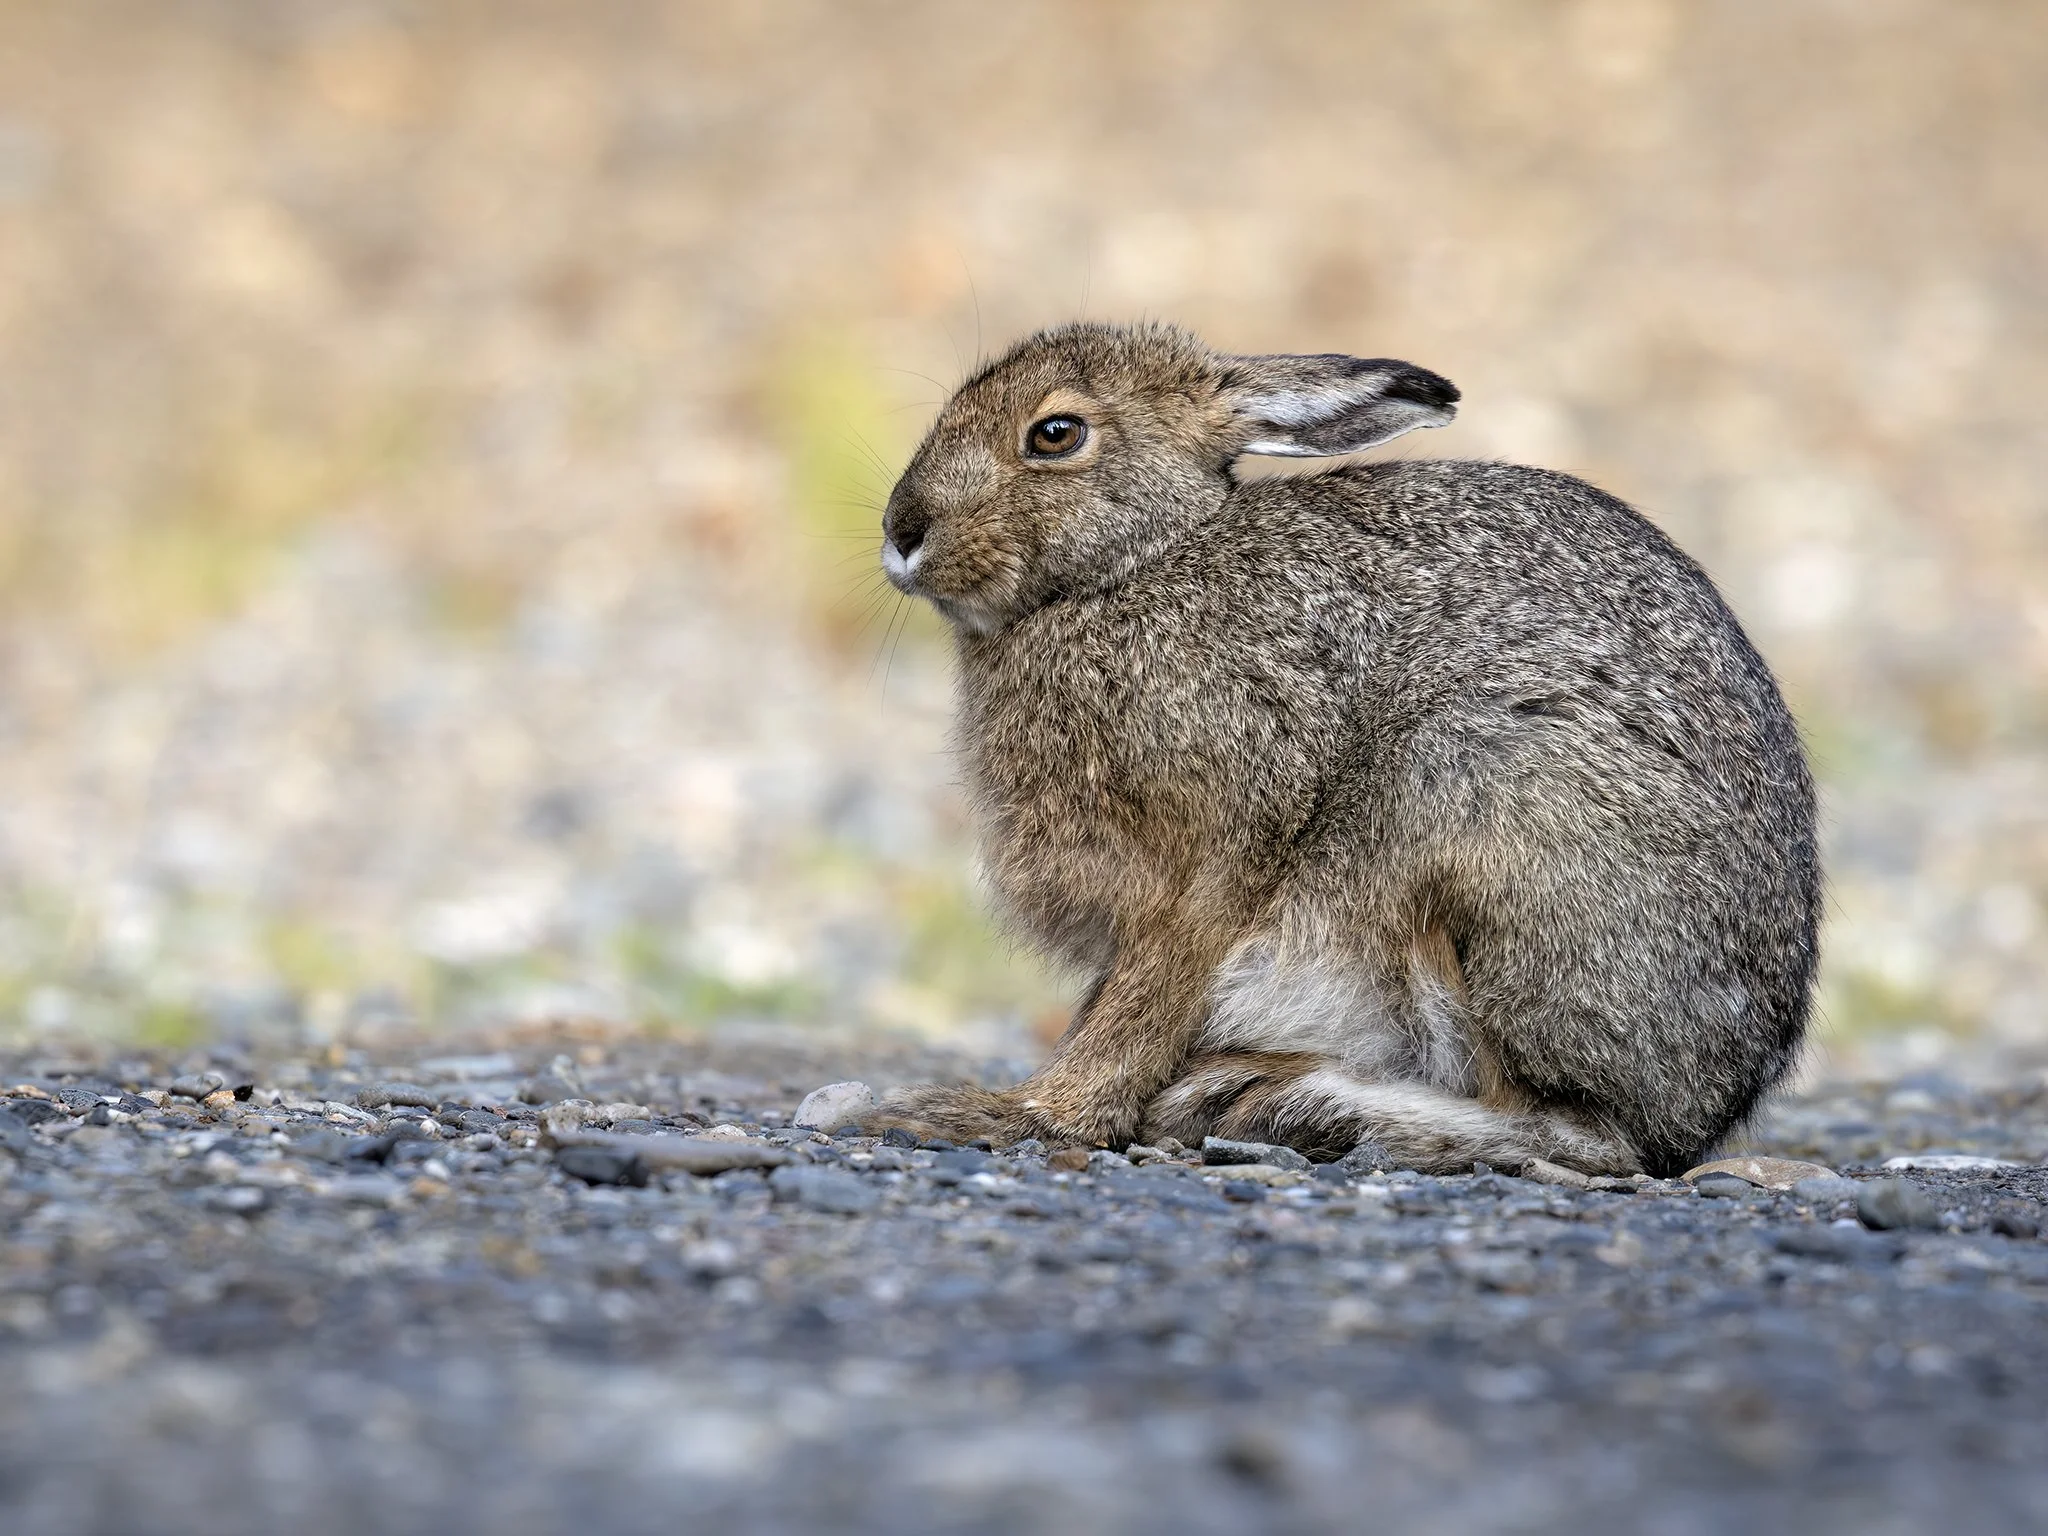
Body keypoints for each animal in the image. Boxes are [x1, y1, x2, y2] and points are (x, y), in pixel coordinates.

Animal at [865, 321, 1818, 1178]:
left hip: (1481, 812)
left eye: (1055, 434)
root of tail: (1708, 1101)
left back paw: (1278, 1101)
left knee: (1580, 1137)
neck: (1137, 566)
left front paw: (1012, 1114)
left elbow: (1139, 1006)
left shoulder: (1216, 853)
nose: (901, 530)